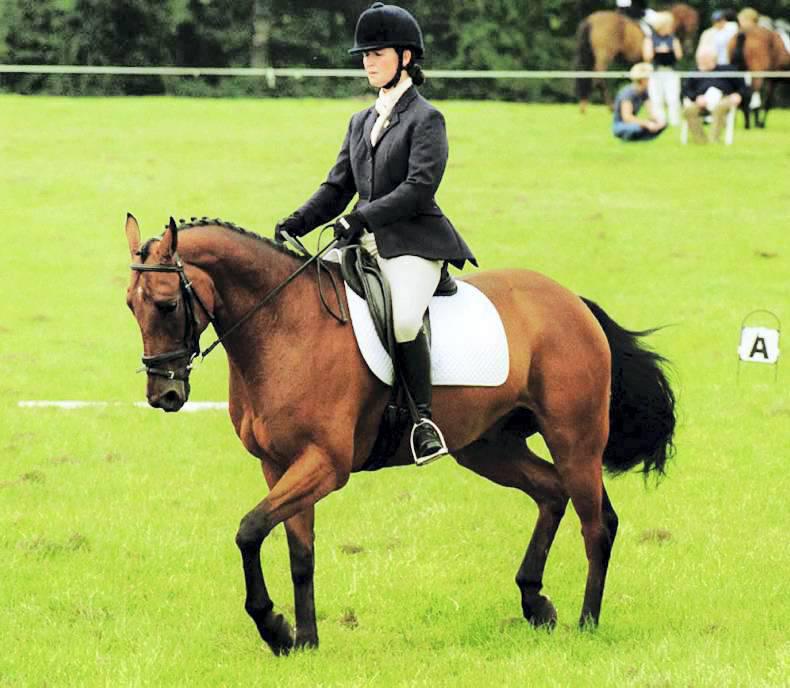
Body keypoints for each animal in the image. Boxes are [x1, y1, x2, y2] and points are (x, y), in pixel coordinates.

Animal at [124, 214, 676, 655]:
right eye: (131, 305)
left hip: (575, 439)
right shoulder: (278, 464)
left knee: (596, 523)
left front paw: (274, 627)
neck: (283, 327)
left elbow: (250, 529)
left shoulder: (325, 465)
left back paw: (586, 624)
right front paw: (305, 640)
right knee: (551, 493)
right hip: (488, 447)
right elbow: (298, 552)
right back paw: (535, 601)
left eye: (167, 305)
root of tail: (571, 301)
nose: (163, 394)